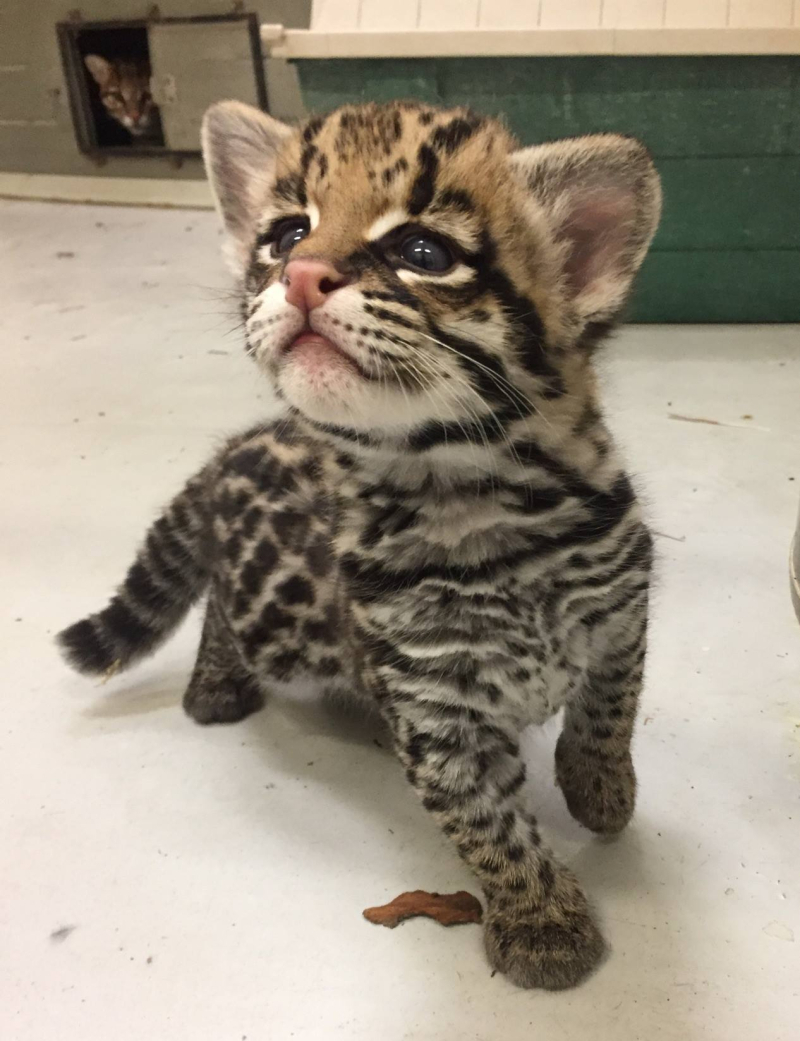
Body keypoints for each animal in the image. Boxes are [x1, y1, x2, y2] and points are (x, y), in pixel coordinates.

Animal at [59, 101, 662, 986]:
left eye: (423, 252)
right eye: (285, 234)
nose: (300, 274)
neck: (468, 493)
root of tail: (231, 448)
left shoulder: (626, 602)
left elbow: (610, 704)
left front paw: (600, 789)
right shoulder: (436, 706)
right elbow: (487, 821)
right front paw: (542, 920)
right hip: (276, 617)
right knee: (221, 607)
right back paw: (216, 685)